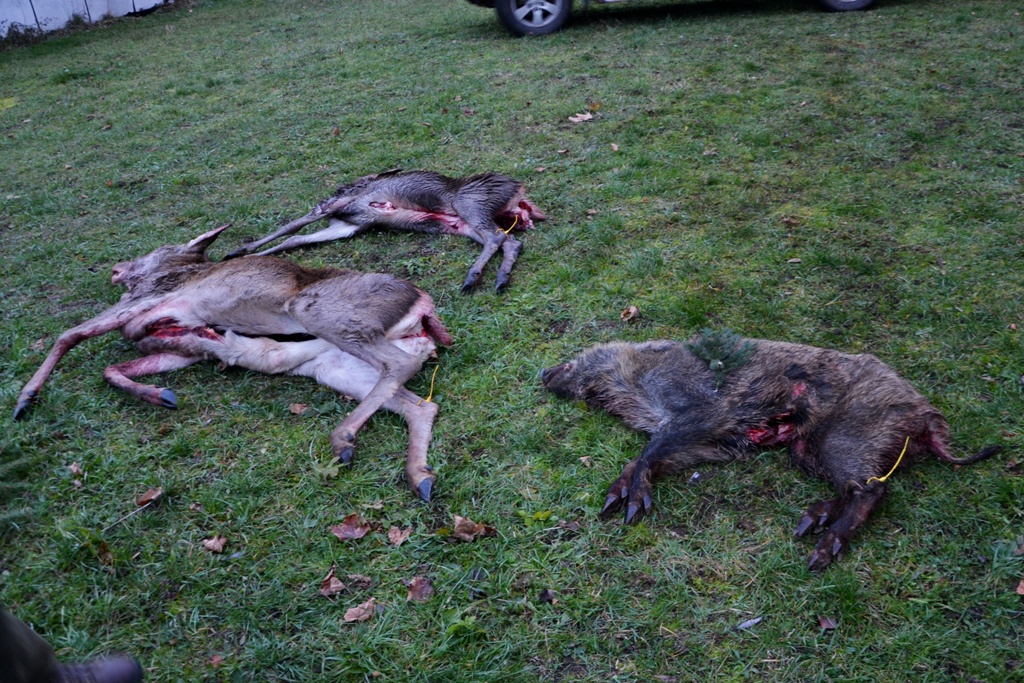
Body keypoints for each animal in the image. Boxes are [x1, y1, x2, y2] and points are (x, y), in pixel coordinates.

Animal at [13, 224, 453, 501]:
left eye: (155, 251)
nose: (116, 267)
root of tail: (425, 307)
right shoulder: (182, 349)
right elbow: (113, 368)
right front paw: (160, 395)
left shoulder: (147, 300)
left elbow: (71, 334)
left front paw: (25, 397)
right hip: (337, 367)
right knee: (420, 405)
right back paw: (420, 477)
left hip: (316, 311)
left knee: (399, 366)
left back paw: (343, 438)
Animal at [223, 170, 547, 293]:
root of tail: (518, 190)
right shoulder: (349, 225)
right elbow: (296, 237)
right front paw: (249, 256)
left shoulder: (340, 206)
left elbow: (293, 225)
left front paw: (239, 251)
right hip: (462, 222)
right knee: (510, 241)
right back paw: (500, 279)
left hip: (469, 204)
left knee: (497, 237)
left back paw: (473, 278)